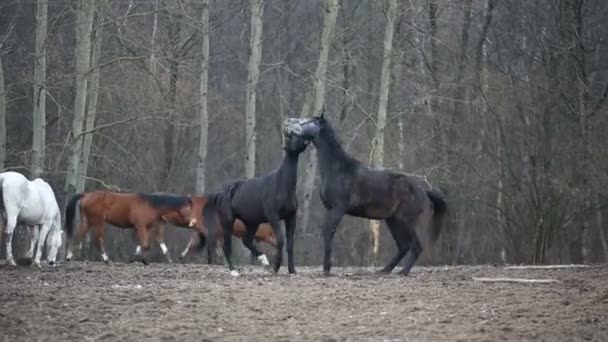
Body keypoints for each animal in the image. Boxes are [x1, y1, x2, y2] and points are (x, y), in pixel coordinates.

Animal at [63, 191, 195, 266]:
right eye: (189, 208)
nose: (193, 222)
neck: (151, 205)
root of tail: (86, 195)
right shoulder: (140, 227)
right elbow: (145, 245)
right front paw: (137, 259)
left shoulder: (144, 228)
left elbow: (144, 244)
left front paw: (141, 259)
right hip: (98, 222)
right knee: (98, 240)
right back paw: (106, 259)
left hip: (87, 222)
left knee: (78, 237)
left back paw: (69, 257)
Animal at [205, 131, 312, 276]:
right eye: (291, 137)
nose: (306, 140)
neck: (281, 183)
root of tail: (221, 193)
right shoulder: (273, 216)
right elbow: (280, 239)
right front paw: (276, 267)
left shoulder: (291, 217)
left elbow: (290, 244)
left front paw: (292, 270)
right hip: (228, 222)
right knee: (227, 246)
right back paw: (234, 271)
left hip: (252, 223)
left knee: (247, 241)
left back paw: (264, 261)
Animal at [284, 113, 446, 276]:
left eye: (308, 121)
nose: (288, 124)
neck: (338, 169)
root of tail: (423, 191)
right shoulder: (331, 210)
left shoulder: (337, 210)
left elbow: (328, 233)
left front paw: (327, 268)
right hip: (393, 221)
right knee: (403, 247)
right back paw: (384, 270)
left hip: (406, 221)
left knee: (416, 247)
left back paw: (402, 272)